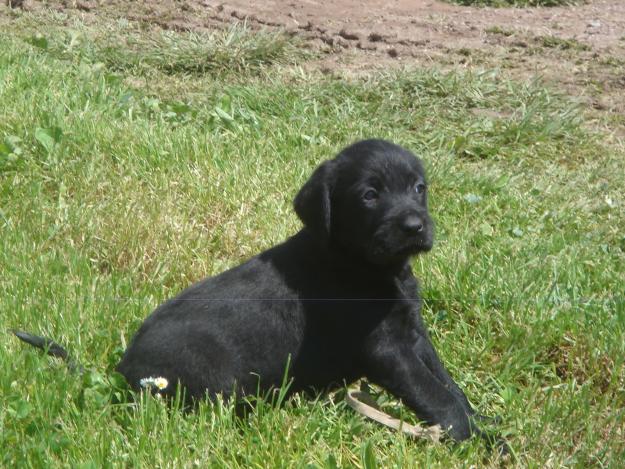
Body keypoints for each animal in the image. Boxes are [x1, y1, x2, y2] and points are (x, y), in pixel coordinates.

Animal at [14, 140, 482, 442]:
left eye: (419, 188)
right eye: (370, 194)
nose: (415, 226)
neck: (365, 264)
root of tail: (123, 370)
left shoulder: (412, 336)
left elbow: (447, 385)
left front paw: (483, 424)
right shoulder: (386, 350)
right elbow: (435, 396)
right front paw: (468, 437)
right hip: (212, 379)